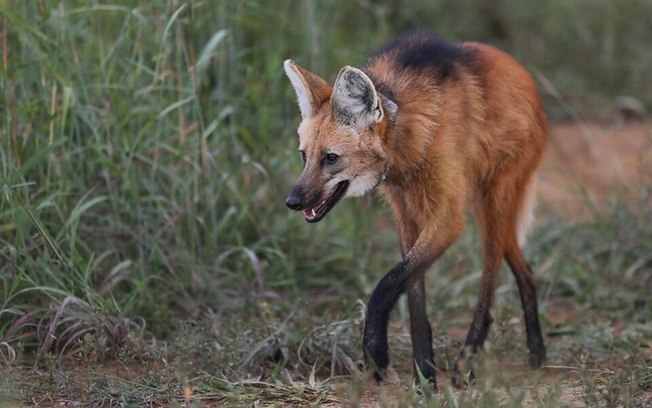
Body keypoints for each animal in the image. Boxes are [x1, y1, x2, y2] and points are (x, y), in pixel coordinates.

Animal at [282, 31, 548, 388]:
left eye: (331, 158)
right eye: (304, 156)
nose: (293, 202)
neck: (406, 141)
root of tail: (521, 72)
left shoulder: (447, 219)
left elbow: (385, 287)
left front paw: (377, 354)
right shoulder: (406, 213)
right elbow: (413, 299)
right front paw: (424, 377)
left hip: (493, 204)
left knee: (489, 283)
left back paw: (468, 362)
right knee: (525, 269)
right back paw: (537, 351)